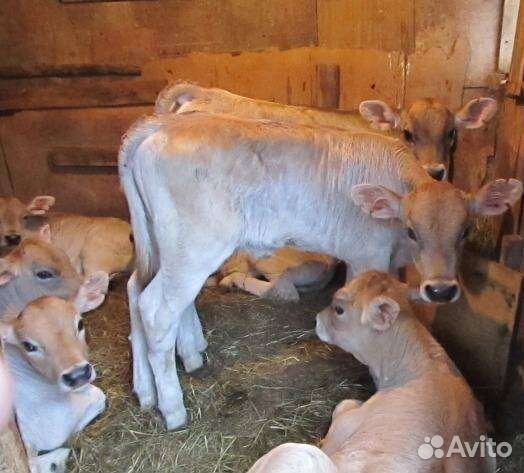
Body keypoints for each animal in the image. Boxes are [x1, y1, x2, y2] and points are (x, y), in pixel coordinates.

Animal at [119, 111, 520, 428]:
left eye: (465, 231)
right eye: (411, 230)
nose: (440, 290)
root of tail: (161, 124)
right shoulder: (367, 256)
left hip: (165, 244)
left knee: (137, 290)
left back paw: (163, 377)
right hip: (195, 246)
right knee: (156, 309)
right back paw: (173, 408)